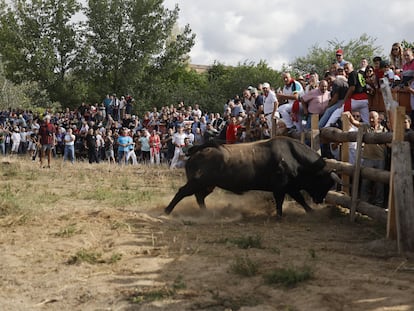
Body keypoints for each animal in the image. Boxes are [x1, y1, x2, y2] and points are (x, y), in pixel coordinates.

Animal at [165, 138, 340, 218]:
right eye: (325, 182)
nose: (320, 200)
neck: (293, 157)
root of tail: (198, 151)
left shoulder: (290, 187)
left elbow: (300, 200)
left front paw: (310, 211)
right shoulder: (282, 187)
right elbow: (286, 200)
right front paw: (280, 215)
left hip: (208, 184)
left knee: (199, 197)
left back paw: (206, 213)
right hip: (197, 182)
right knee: (182, 192)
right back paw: (167, 211)